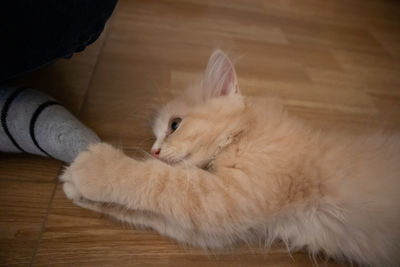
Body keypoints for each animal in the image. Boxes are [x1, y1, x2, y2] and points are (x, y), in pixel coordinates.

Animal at [61, 49, 398, 266]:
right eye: (157, 135)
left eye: (174, 125)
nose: (154, 151)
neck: (243, 134)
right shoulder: (224, 224)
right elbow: (144, 205)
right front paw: (72, 184)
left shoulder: (229, 195)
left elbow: (156, 180)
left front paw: (93, 167)